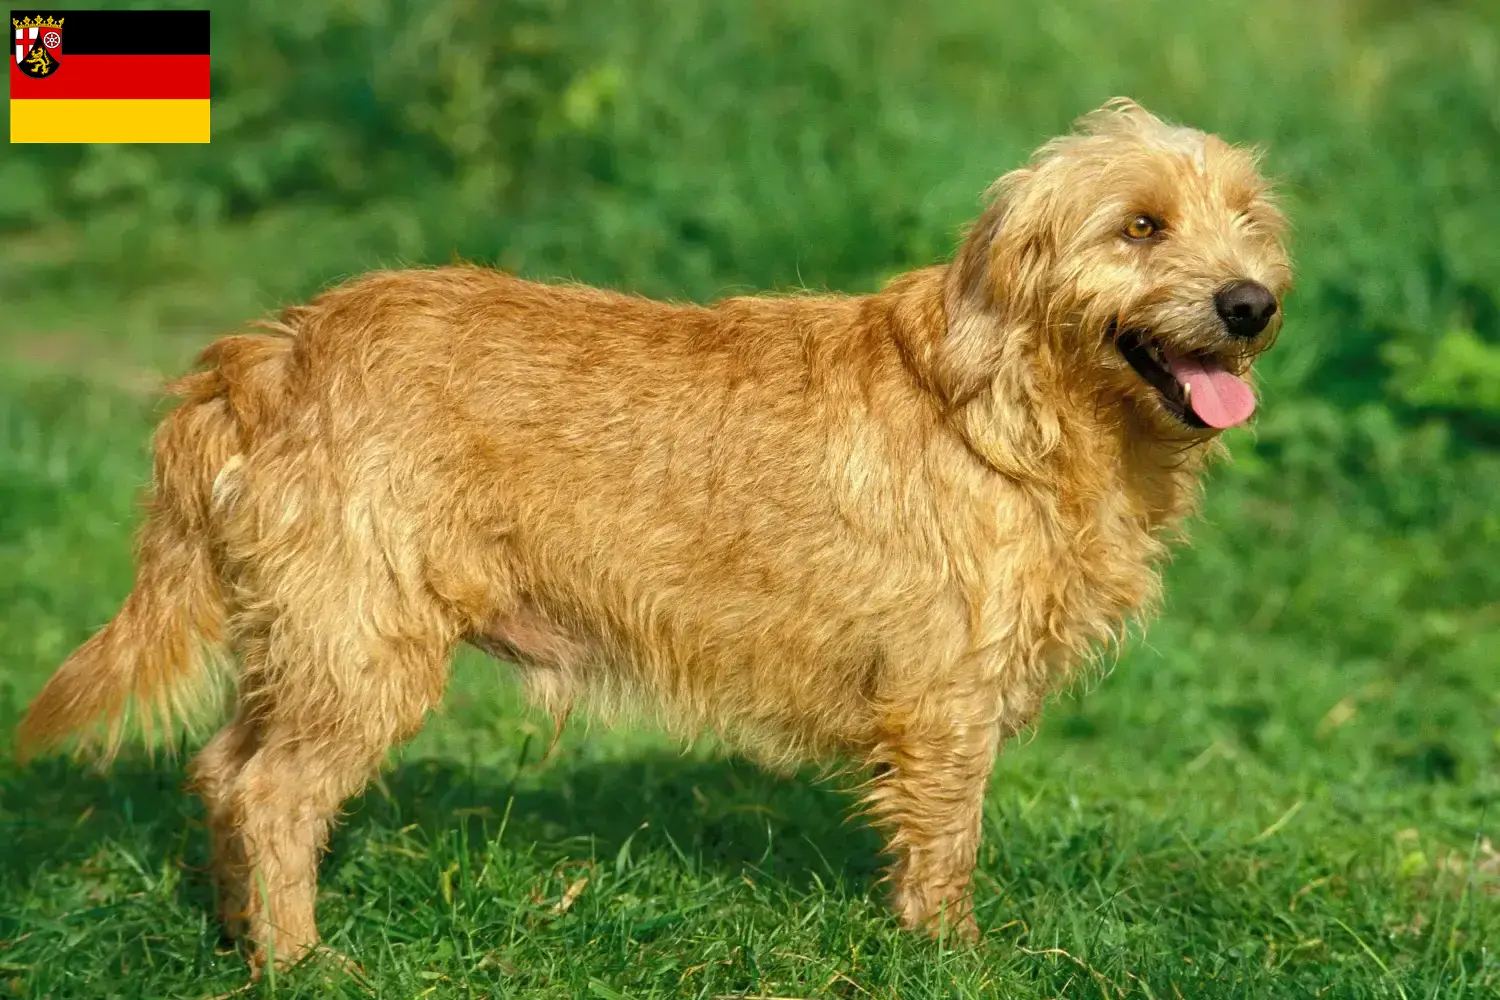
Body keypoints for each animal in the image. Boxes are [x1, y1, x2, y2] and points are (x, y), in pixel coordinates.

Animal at [17, 97, 1290, 971]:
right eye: (1140, 225)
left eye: (1249, 222)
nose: (1252, 304)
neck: (1014, 404)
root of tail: (275, 351)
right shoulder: (947, 704)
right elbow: (947, 848)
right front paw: (955, 961)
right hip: (362, 651)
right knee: (273, 793)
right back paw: (302, 960)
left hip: (302, 644)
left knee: (223, 771)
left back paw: (239, 936)